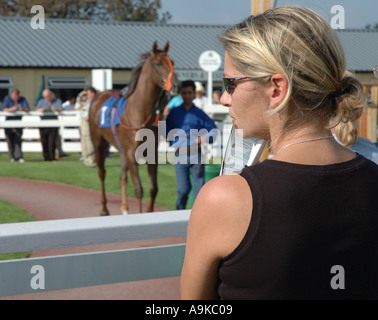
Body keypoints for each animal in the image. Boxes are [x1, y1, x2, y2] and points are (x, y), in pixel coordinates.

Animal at [89, 40, 179, 215]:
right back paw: (104, 209)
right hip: (98, 143)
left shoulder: (150, 154)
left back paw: (124, 208)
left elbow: (154, 188)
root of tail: (98, 96)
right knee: (102, 173)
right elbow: (139, 189)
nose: (176, 86)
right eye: (158, 63)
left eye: (172, 62)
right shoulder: (131, 154)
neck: (139, 111)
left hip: (121, 149)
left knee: (122, 177)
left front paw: (149, 211)